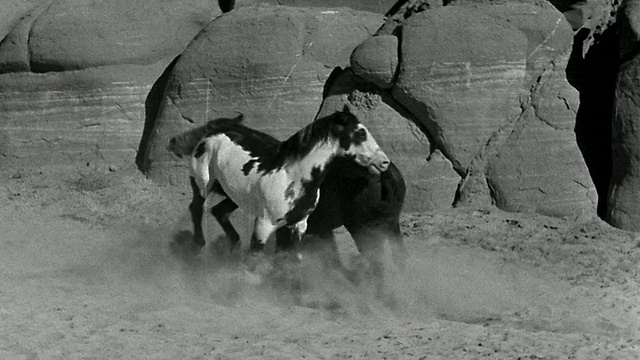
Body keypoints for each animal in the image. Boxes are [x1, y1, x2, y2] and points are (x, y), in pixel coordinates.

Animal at [169, 105, 390, 258]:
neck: (292, 177)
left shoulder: (298, 226)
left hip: (233, 194)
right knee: (196, 208)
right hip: (202, 183)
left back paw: (232, 246)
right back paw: (198, 245)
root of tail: (215, 130)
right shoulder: (264, 226)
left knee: (219, 212)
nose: (384, 162)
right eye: (359, 134)